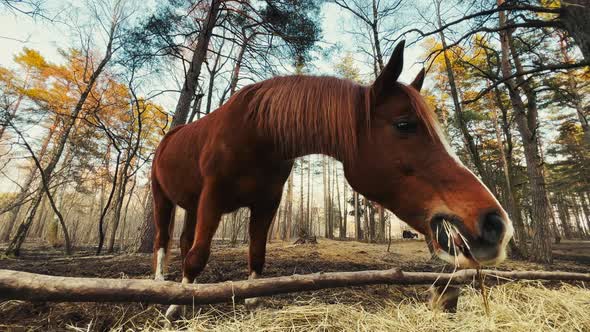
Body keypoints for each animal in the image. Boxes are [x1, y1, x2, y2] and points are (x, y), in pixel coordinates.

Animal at [151, 40, 512, 314]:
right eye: (404, 125)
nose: (496, 224)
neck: (255, 132)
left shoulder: (266, 204)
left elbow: (256, 253)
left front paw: (250, 299)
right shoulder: (213, 197)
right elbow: (198, 256)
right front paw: (176, 307)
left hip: (192, 205)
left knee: (182, 240)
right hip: (163, 198)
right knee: (163, 240)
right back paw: (158, 283)